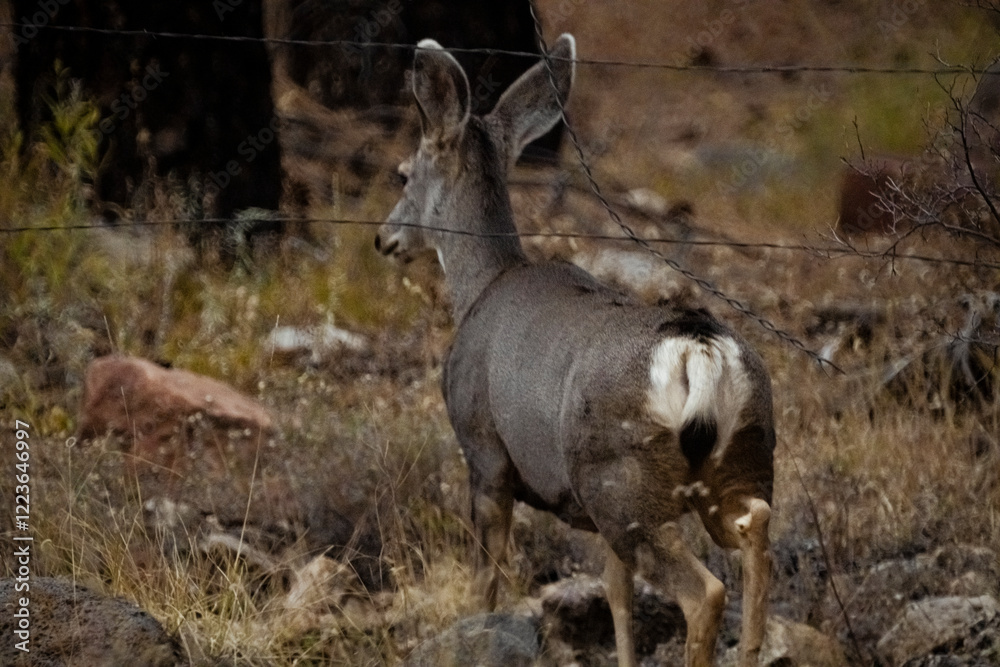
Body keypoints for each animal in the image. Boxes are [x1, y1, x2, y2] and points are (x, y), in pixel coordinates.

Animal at [375, 34, 775, 667]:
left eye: (403, 173)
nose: (383, 237)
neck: (482, 287)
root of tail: (699, 350)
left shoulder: (483, 450)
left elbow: (487, 574)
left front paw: (477, 632)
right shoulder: (590, 514)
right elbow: (616, 595)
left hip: (621, 481)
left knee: (706, 590)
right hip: (735, 458)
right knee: (756, 527)